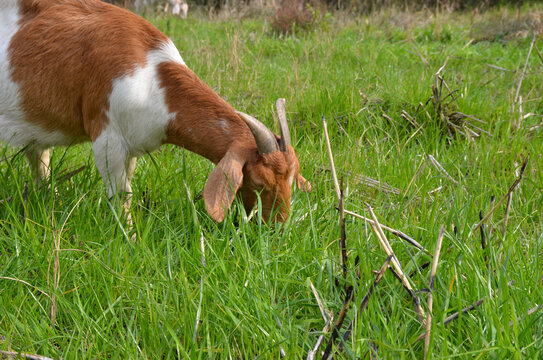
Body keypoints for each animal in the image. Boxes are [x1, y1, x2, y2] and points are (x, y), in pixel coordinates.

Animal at [0, 0, 310, 222]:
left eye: (292, 177)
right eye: (257, 181)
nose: (279, 227)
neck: (155, 78)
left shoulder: (134, 143)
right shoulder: (107, 140)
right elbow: (121, 196)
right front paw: (129, 237)